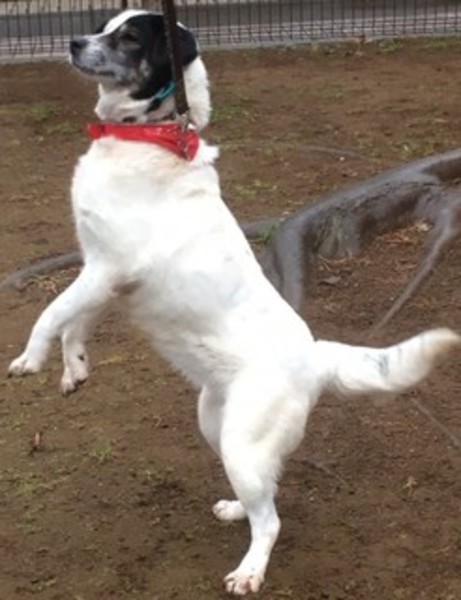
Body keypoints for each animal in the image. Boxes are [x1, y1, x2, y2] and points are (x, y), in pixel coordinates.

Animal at [8, 9, 460, 595]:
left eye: (129, 37)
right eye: (107, 24)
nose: (73, 42)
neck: (152, 138)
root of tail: (315, 356)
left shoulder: (106, 268)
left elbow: (52, 313)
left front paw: (29, 359)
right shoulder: (102, 276)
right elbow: (75, 323)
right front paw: (73, 368)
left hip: (243, 443)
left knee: (272, 520)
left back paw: (249, 572)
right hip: (216, 424)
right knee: (265, 494)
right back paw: (237, 512)